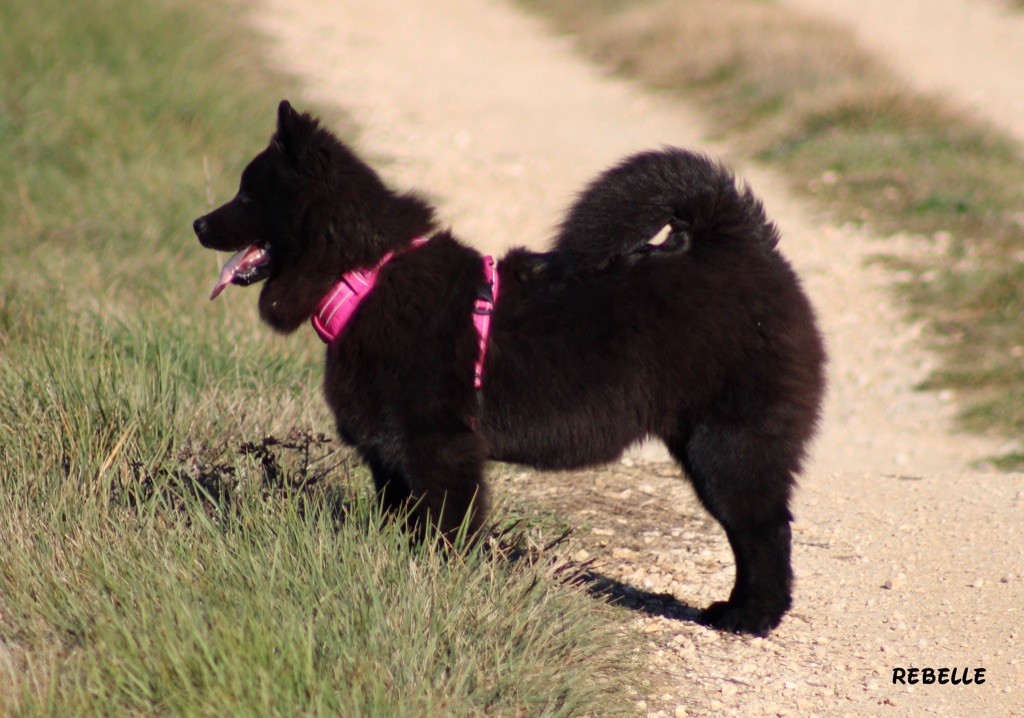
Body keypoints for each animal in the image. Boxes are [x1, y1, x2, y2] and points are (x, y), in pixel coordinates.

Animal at [195, 100, 827, 630]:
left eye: (248, 195)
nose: (198, 224)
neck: (365, 276)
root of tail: (744, 244)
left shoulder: (440, 449)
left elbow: (445, 531)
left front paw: (437, 587)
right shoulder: (390, 455)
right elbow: (402, 523)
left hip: (728, 447)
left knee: (764, 531)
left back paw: (750, 617)